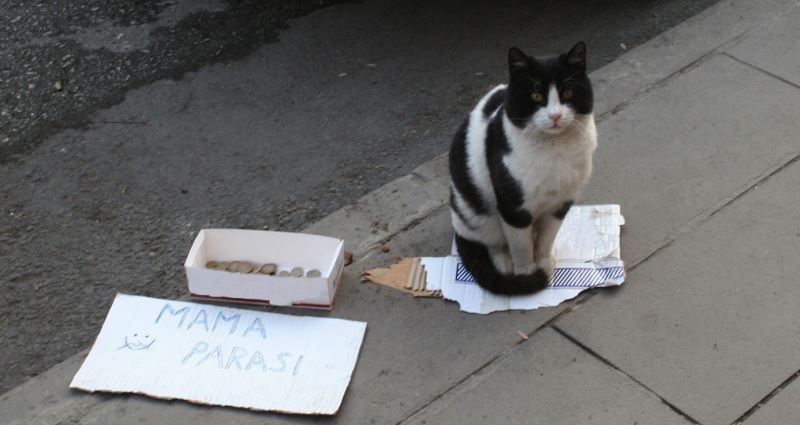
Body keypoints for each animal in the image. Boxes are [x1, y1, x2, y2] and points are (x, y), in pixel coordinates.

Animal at [450, 42, 592, 294]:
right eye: (536, 96)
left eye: (567, 93)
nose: (555, 116)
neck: (554, 151)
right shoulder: (513, 208)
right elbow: (521, 246)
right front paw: (526, 274)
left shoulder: (561, 203)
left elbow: (547, 237)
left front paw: (543, 262)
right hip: (477, 212)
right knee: (491, 241)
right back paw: (503, 262)